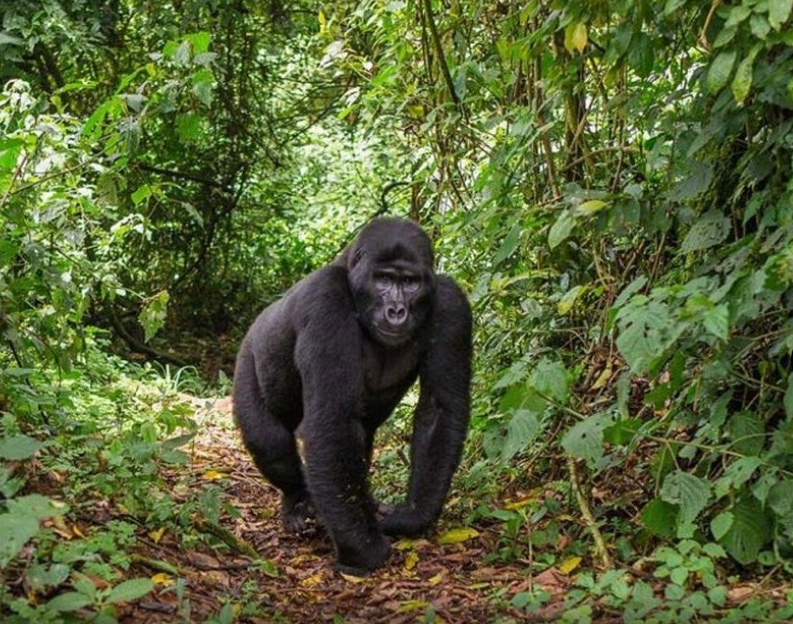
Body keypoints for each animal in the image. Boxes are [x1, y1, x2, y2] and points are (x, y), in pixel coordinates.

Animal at [232, 218, 474, 576]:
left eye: (410, 282)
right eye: (383, 279)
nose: (396, 310)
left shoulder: (451, 303)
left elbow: (439, 411)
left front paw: (411, 515)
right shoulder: (325, 299)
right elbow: (332, 419)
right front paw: (364, 550)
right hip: (247, 356)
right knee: (269, 440)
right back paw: (297, 502)